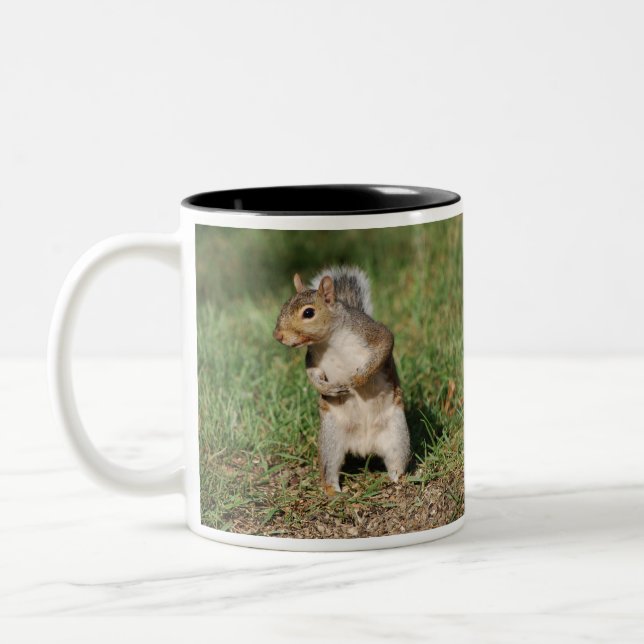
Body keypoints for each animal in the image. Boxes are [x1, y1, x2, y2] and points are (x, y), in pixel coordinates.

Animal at [273, 266, 411, 495]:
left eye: (308, 313)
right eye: (284, 305)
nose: (278, 336)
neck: (329, 341)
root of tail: (365, 446)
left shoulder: (372, 333)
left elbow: (384, 345)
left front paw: (357, 379)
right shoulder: (312, 359)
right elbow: (312, 375)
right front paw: (327, 388)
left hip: (397, 436)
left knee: (397, 462)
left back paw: (398, 481)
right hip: (331, 439)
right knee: (330, 469)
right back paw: (333, 492)